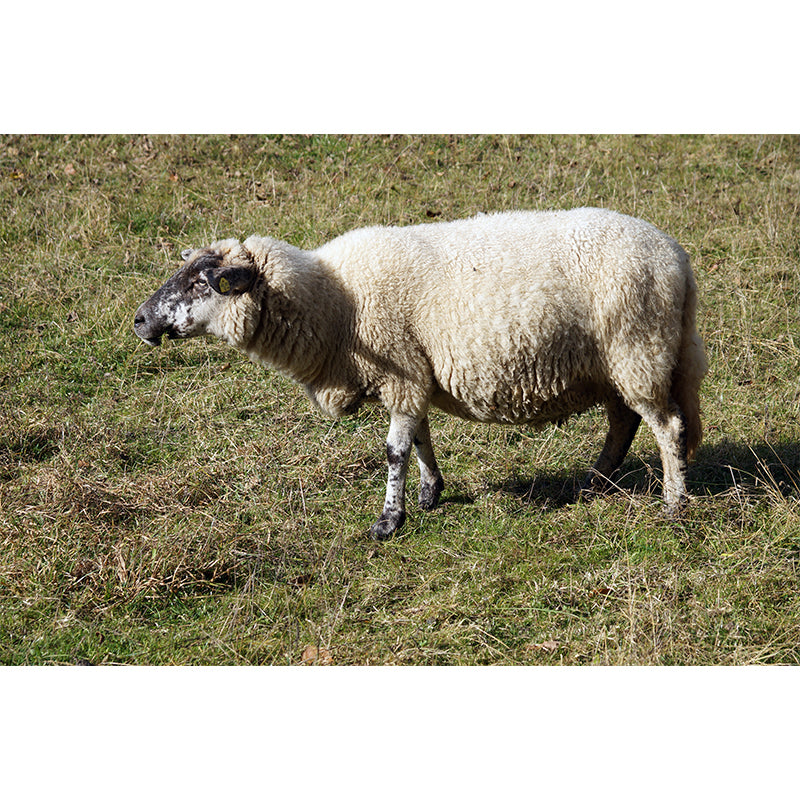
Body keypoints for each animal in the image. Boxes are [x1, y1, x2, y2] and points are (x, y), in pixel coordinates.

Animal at [134, 208, 707, 540]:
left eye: (201, 283)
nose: (139, 320)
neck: (335, 302)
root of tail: (678, 260)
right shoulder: (412, 372)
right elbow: (420, 438)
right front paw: (431, 493)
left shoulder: (401, 370)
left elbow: (394, 450)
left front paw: (389, 520)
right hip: (617, 360)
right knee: (624, 422)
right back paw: (597, 482)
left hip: (638, 347)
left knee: (667, 426)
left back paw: (673, 505)